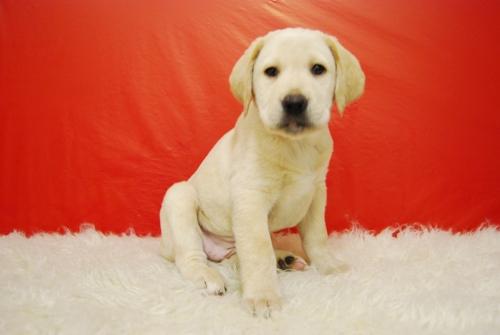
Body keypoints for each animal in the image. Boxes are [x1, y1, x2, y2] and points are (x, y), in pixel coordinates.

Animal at [159, 28, 364, 318]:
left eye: (318, 69)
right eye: (271, 72)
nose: (294, 102)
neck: (295, 145)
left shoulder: (316, 192)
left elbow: (317, 236)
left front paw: (329, 266)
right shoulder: (251, 198)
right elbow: (258, 251)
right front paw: (262, 297)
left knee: (236, 257)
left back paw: (283, 259)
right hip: (180, 196)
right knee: (188, 256)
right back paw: (207, 276)